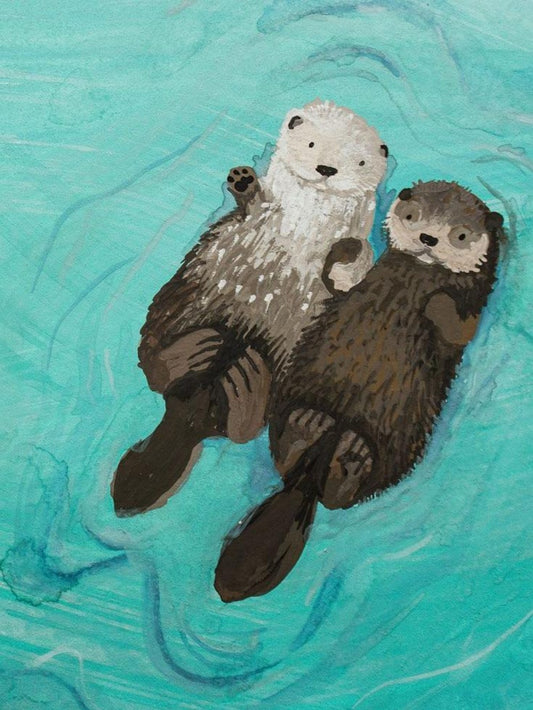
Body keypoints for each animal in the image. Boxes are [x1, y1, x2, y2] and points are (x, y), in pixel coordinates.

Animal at [111, 100, 388, 516]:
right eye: (310, 143)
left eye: (358, 160)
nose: (326, 170)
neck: (309, 221)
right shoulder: (258, 213)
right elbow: (254, 204)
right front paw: (243, 180)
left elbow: (361, 259)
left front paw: (349, 256)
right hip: (181, 298)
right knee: (154, 364)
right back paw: (186, 357)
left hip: (291, 365)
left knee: (247, 427)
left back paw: (249, 386)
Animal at [214, 180, 503, 602]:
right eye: (413, 215)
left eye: (461, 235)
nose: (428, 240)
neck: (417, 275)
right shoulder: (360, 282)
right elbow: (338, 282)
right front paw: (348, 249)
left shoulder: (469, 313)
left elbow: (457, 327)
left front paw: (437, 301)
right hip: (289, 397)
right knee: (285, 452)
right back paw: (307, 428)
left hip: (401, 447)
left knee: (343, 496)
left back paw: (349, 461)